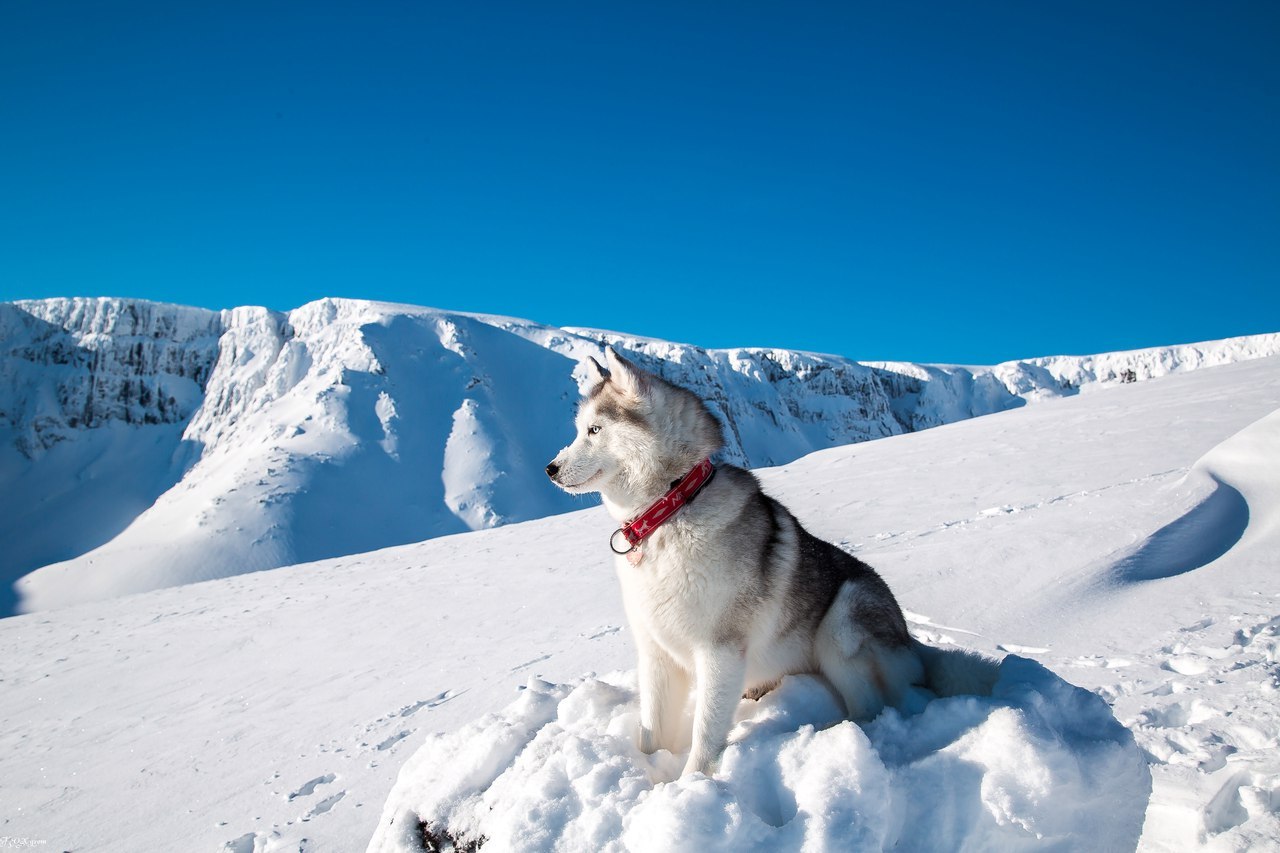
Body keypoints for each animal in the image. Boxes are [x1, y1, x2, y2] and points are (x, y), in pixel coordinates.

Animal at [545, 348, 993, 778]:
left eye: (594, 430)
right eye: (579, 429)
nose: (550, 468)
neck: (671, 508)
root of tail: (911, 643)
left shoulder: (720, 651)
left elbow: (706, 734)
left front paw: (691, 784)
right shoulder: (657, 654)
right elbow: (651, 732)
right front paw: (649, 774)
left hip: (842, 623)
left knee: (870, 708)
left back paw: (823, 734)